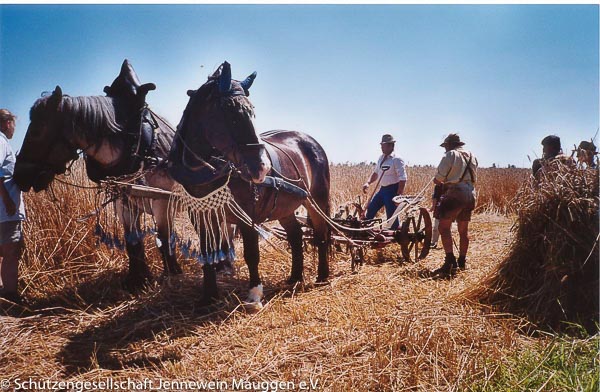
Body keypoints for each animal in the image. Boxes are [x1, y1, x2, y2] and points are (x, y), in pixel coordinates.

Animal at [13, 60, 183, 288]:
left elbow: (165, 238)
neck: (137, 147)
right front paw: (137, 280)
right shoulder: (123, 202)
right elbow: (133, 241)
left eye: (36, 131)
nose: (18, 176)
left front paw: (172, 272)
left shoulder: (163, 202)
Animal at [169, 61, 332, 308]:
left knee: (320, 234)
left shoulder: (247, 215)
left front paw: (255, 295)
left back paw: (322, 276)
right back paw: (294, 277)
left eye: (252, 111)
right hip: (285, 207)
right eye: (231, 113)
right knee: (295, 237)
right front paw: (208, 296)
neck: (206, 172)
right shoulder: (201, 216)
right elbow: (207, 253)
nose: (262, 167)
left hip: (317, 201)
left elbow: (251, 254)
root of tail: (309, 140)